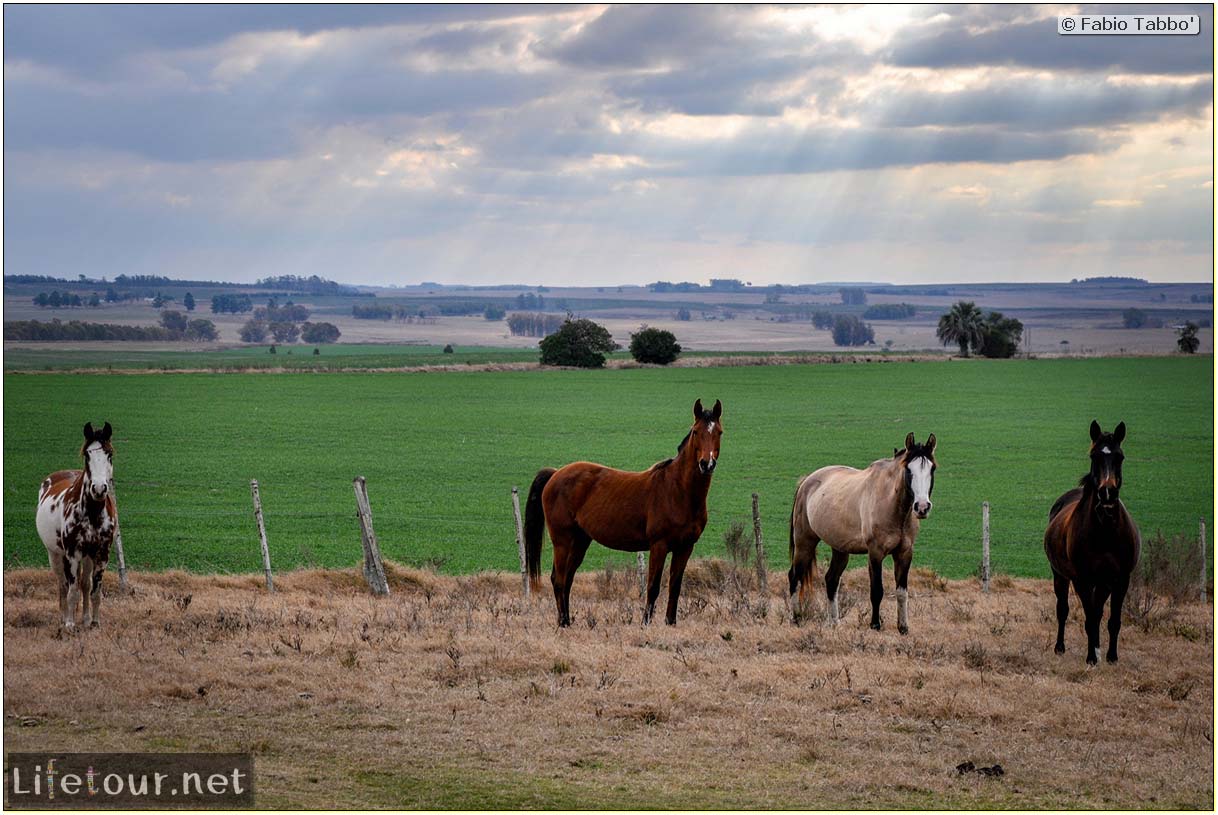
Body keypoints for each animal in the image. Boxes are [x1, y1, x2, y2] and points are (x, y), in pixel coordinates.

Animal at [523, 397, 721, 628]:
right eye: (696, 431)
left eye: (719, 432)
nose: (706, 464)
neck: (678, 490)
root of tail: (555, 474)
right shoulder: (659, 545)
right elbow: (653, 586)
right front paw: (645, 624)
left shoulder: (685, 547)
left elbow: (675, 586)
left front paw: (670, 623)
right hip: (562, 540)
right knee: (559, 579)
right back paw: (563, 622)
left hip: (580, 541)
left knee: (568, 579)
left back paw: (567, 621)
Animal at [789, 428, 940, 633]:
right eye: (909, 470)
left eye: (932, 469)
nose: (922, 507)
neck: (892, 506)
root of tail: (806, 481)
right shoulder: (875, 553)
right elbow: (877, 590)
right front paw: (875, 624)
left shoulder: (904, 553)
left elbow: (902, 592)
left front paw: (903, 627)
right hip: (804, 542)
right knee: (794, 577)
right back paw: (796, 619)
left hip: (840, 549)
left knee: (831, 580)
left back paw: (834, 622)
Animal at [1042, 419, 1135, 662]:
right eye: (1094, 456)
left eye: (1120, 456)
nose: (1107, 493)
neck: (1105, 532)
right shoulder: (1082, 579)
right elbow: (1090, 618)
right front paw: (1091, 658)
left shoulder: (1121, 579)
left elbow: (1112, 620)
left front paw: (1111, 656)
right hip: (1061, 576)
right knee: (1063, 610)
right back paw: (1060, 647)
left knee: (1098, 610)